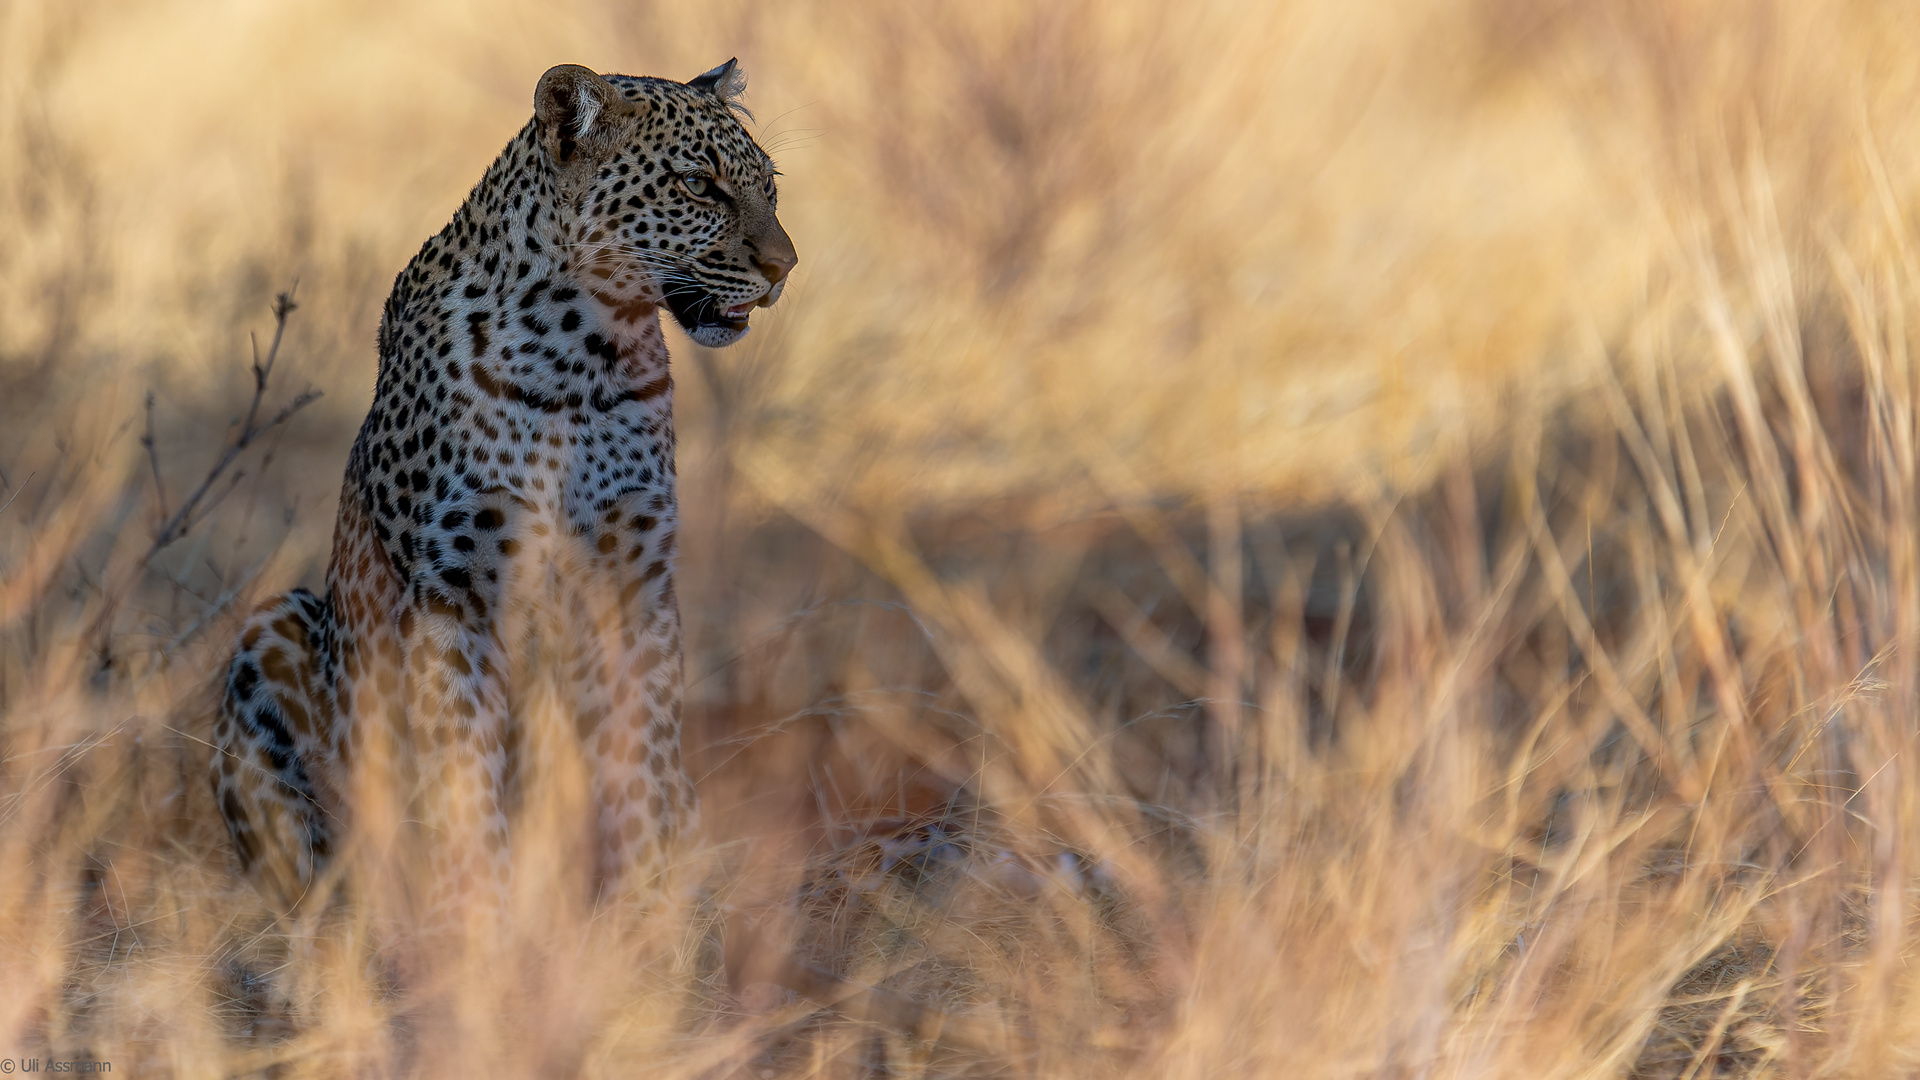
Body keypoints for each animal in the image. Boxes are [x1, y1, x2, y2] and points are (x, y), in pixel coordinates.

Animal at [214, 58, 798, 914]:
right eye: (698, 185)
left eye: (770, 187)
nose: (785, 267)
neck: (585, 359)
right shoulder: (451, 597)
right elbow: (461, 780)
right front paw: (477, 923)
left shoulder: (638, 585)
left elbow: (642, 764)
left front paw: (645, 918)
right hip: (273, 627)